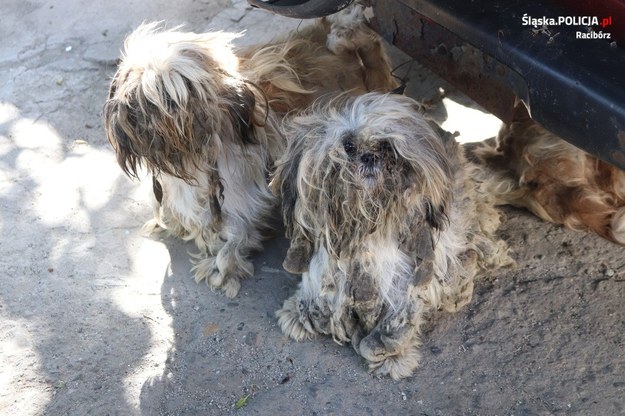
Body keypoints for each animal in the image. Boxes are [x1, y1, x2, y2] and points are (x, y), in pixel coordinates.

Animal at [102, 6, 394, 300]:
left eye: (184, 88)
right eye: (139, 90)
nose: (155, 113)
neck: (191, 155)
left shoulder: (239, 194)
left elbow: (234, 234)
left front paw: (221, 266)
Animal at [270, 92, 510, 378]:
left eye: (386, 148)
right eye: (348, 146)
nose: (370, 157)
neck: (366, 231)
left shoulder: (406, 278)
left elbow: (397, 321)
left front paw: (390, 355)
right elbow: (316, 288)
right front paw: (300, 313)